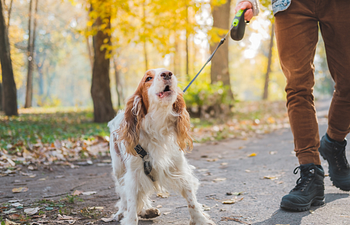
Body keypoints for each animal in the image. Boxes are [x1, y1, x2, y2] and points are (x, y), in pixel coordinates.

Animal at [108, 69, 215, 225]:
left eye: (170, 72)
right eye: (148, 78)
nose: (167, 73)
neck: (158, 125)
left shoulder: (179, 168)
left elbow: (191, 200)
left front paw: (200, 219)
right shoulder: (133, 175)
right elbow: (132, 203)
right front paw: (130, 218)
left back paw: (147, 210)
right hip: (118, 169)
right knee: (123, 194)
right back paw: (122, 212)